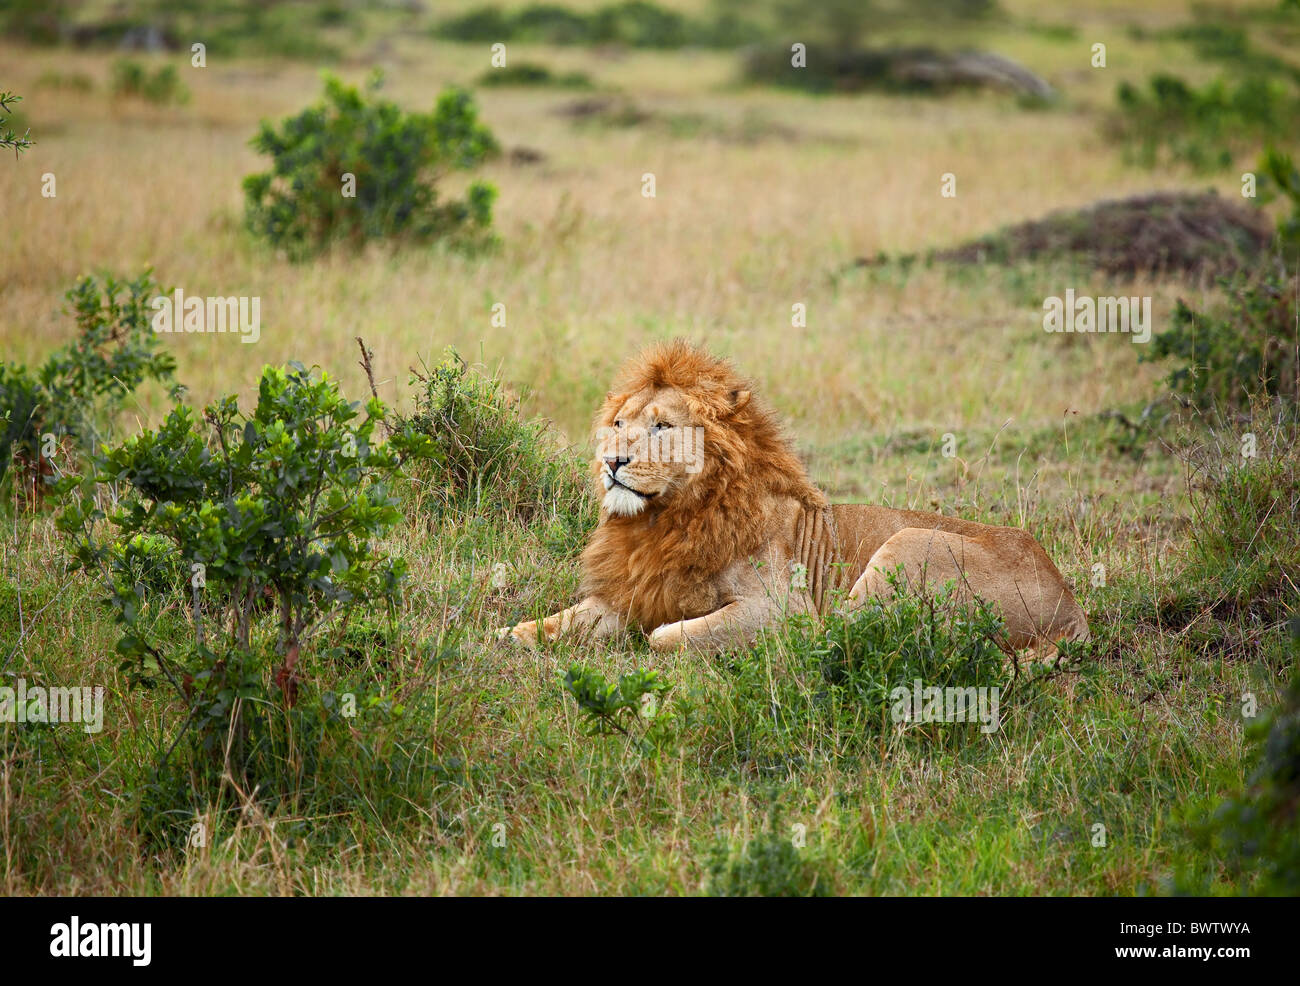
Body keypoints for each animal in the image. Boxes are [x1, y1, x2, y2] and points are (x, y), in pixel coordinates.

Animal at [498, 340, 1089, 657]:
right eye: (618, 424)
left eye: (662, 426)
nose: (611, 461)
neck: (666, 519)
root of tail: (1071, 607)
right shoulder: (635, 590)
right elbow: (559, 621)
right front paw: (506, 634)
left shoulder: (778, 605)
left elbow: (665, 637)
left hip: (909, 543)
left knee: (836, 634)